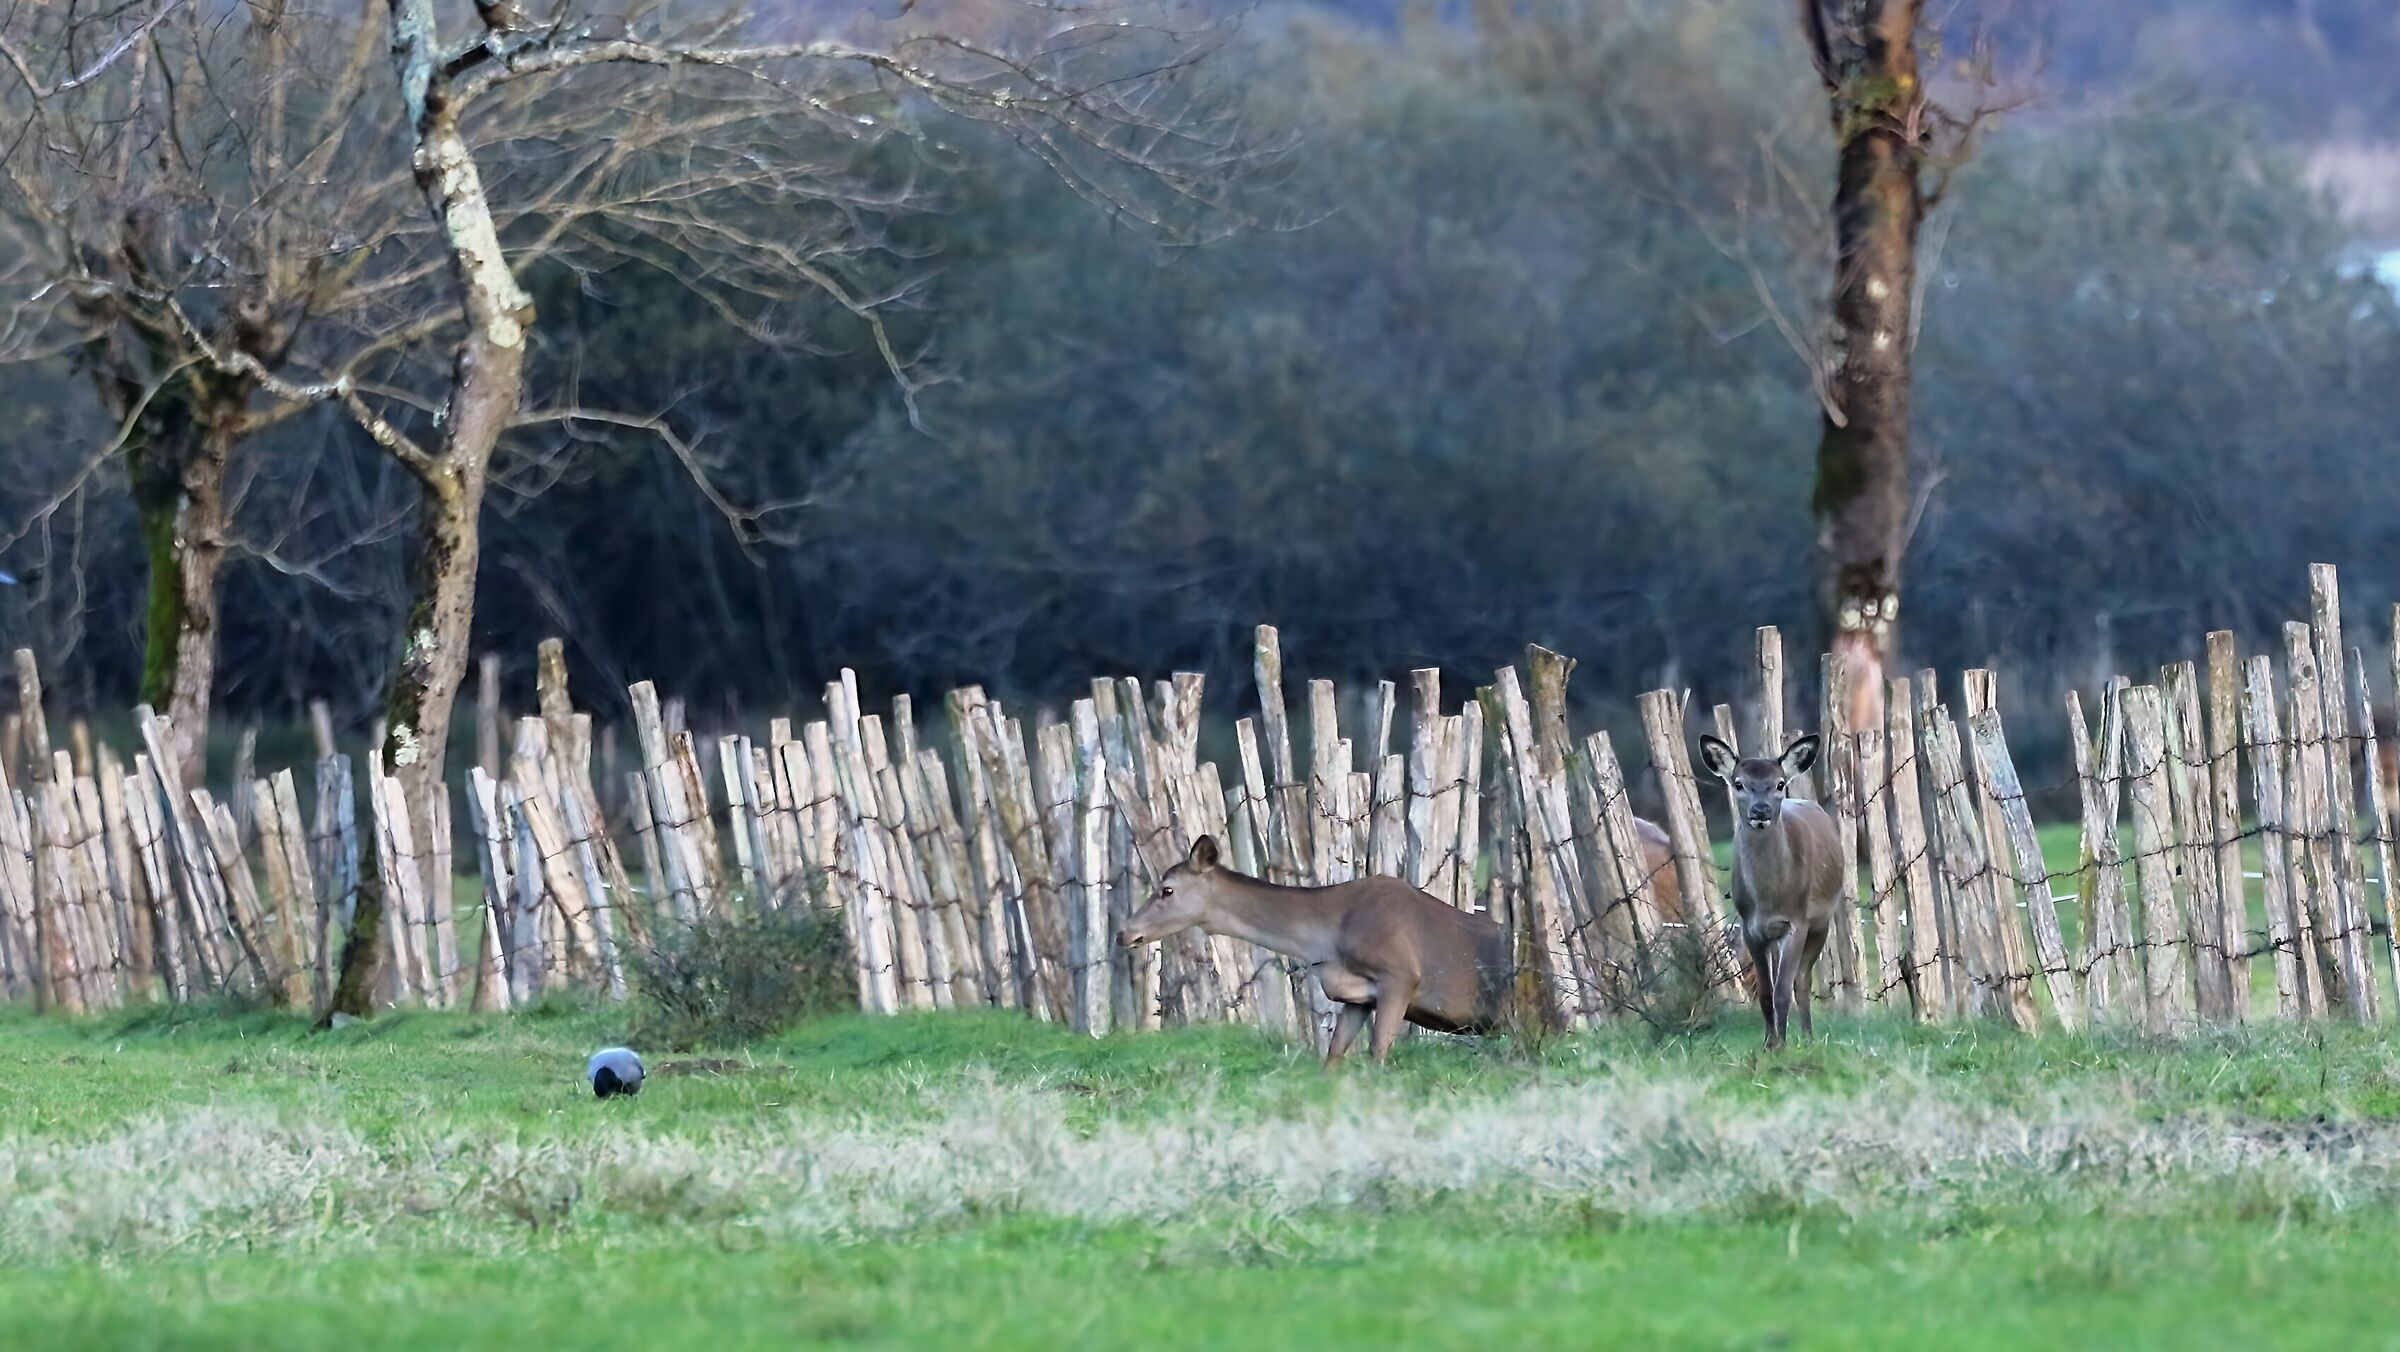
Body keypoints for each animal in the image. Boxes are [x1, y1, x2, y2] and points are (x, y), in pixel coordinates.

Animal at [1118, 823, 1682, 1066]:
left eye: (1167, 889)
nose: (1126, 932)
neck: (1326, 936)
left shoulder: (1399, 977)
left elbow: (1378, 1054)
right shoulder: (1355, 998)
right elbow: (1334, 1057)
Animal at [1697, 733, 1843, 1050]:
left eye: (1779, 783)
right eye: (1738, 783)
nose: (1760, 811)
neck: (1769, 899)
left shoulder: (1796, 921)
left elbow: (1783, 990)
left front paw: (1783, 1046)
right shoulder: (1750, 928)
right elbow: (1765, 991)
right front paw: (1768, 1043)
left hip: (1822, 922)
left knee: (1801, 980)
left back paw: (1809, 1037)